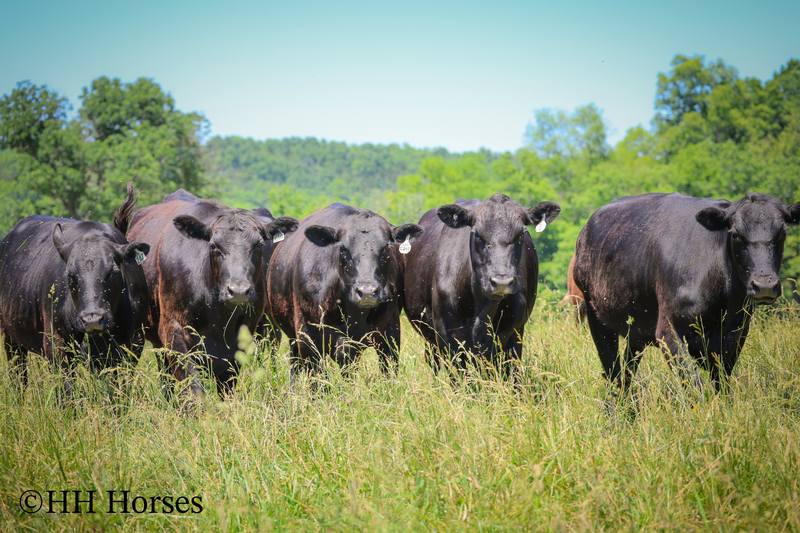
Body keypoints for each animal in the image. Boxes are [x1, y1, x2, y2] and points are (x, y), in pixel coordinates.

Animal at [0, 185, 150, 391]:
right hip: (10, 337)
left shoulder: (132, 343)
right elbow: (67, 390)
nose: (92, 319)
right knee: (18, 375)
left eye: (113, 272)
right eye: (70, 276)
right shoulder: (56, 344)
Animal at [267, 203, 423, 378]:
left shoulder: (390, 332)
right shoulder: (308, 335)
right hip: (293, 338)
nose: (367, 292)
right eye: (343, 249)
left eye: (386, 248)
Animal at [573, 192, 800, 393]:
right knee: (613, 374)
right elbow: (694, 387)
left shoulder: (736, 334)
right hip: (596, 317)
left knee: (627, 373)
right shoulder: (669, 332)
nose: (764, 285)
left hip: (635, 327)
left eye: (782, 233)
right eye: (735, 235)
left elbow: (721, 385)